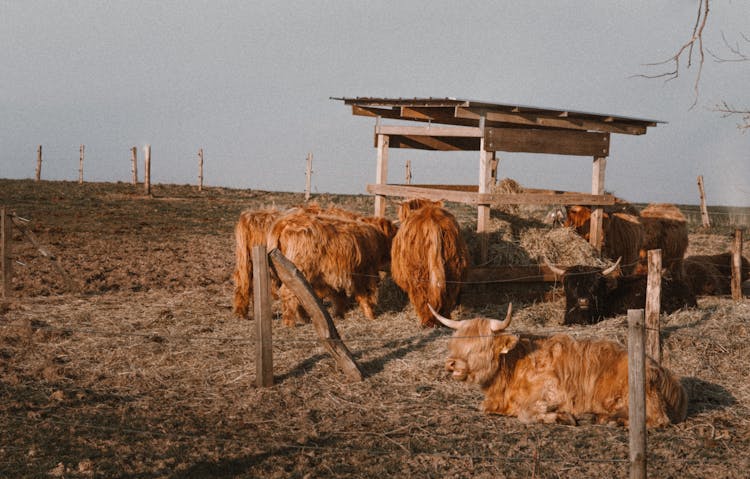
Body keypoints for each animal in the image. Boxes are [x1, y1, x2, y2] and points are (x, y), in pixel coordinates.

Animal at [432, 306, 692, 430]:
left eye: (480, 346)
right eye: (456, 342)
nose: (451, 363)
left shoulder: (553, 393)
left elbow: (527, 414)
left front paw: (562, 417)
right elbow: (486, 408)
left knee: (657, 420)